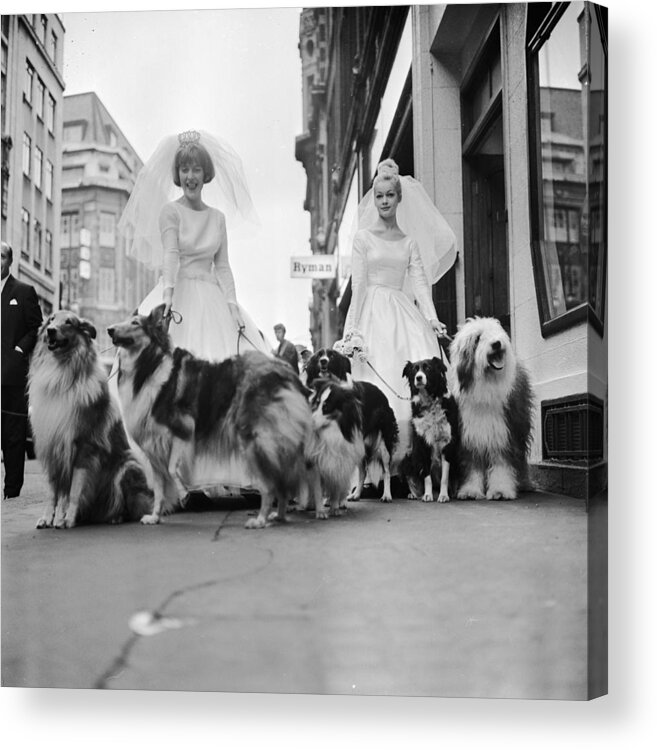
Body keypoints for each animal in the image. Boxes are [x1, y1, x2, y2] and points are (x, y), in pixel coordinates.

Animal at [28, 312, 152, 528]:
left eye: (69, 322)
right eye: (51, 319)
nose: (51, 331)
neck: (60, 375)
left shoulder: (83, 448)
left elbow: (73, 491)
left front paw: (65, 519)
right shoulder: (51, 446)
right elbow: (53, 492)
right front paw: (47, 518)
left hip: (128, 466)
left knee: (131, 507)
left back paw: (115, 517)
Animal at [107, 306, 312, 528]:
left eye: (135, 323)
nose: (109, 329)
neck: (149, 366)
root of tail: (286, 372)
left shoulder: (183, 430)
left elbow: (172, 469)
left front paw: (183, 494)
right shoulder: (153, 445)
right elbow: (160, 486)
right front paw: (155, 516)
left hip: (255, 440)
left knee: (269, 484)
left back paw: (260, 520)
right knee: (281, 478)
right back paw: (279, 516)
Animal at [304, 350, 398, 502]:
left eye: (331, 356)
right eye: (319, 356)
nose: (323, 361)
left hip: (383, 442)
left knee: (386, 470)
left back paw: (386, 495)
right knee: (362, 472)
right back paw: (356, 494)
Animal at [398, 358, 458, 506]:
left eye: (428, 368)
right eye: (414, 370)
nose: (419, 378)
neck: (429, 401)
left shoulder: (447, 444)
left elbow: (444, 477)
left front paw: (443, 496)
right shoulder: (422, 443)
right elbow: (426, 477)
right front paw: (427, 495)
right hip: (407, 459)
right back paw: (414, 494)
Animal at [448, 316, 532, 500]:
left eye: (496, 332)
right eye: (478, 338)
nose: (497, 343)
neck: (487, 386)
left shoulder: (504, 433)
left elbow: (502, 463)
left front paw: (500, 490)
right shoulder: (470, 436)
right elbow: (472, 465)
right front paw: (471, 491)